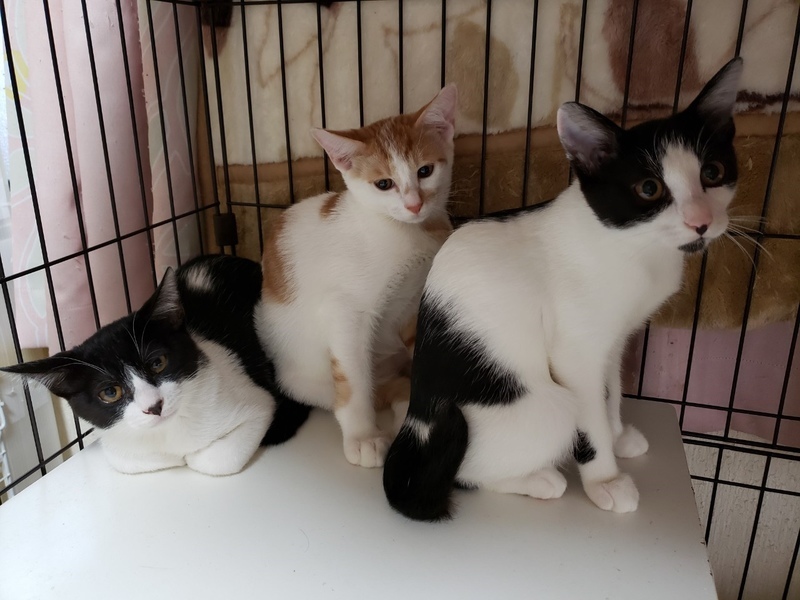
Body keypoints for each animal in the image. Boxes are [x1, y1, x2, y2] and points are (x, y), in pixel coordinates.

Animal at [2, 255, 311, 476]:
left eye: (158, 363)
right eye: (110, 392)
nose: (154, 406)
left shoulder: (254, 402)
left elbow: (216, 460)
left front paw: (192, 457)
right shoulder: (116, 443)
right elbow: (131, 459)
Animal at [255, 85, 458, 468]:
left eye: (425, 170)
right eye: (384, 184)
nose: (414, 204)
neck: (403, 233)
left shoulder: (415, 299)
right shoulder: (344, 312)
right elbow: (353, 379)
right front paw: (363, 436)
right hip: (304, 375)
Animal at [383, 58, 743, 521]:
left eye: (713, 173)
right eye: (649, 189)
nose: (701, 221)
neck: (633, 245)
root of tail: (419, 422)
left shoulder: (613, 340)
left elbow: (611, 389)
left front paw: (617, 433)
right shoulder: (576, 350)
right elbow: (589, 412)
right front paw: (605, 479)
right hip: (545, 407)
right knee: (465, 472)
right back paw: (539, 479)